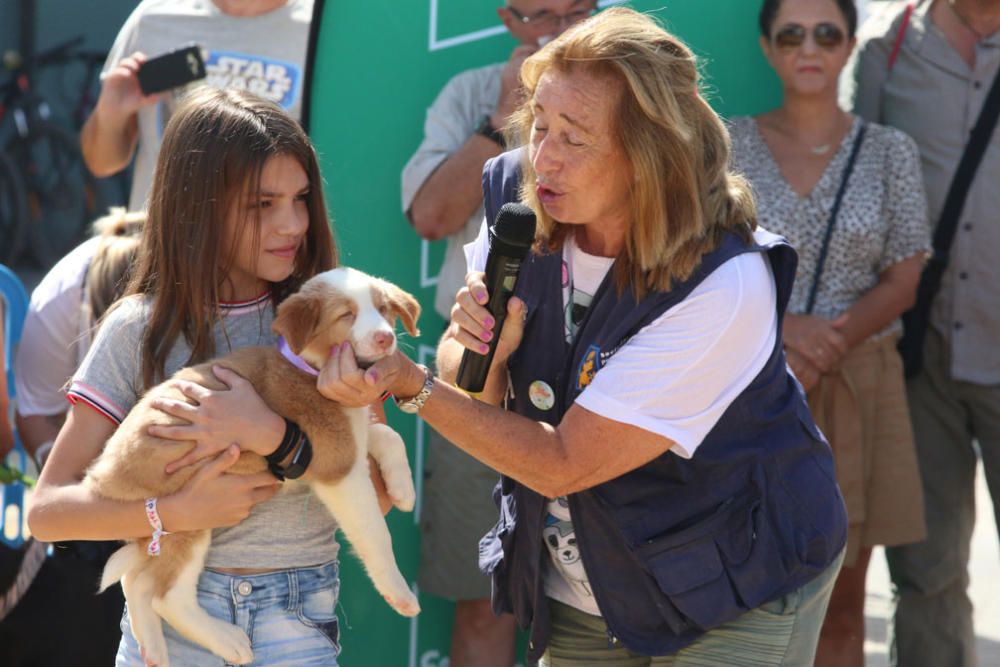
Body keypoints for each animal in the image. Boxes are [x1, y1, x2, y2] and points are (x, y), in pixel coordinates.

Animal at [88, 268, 424, 667]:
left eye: (384, 308)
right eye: (346, 315)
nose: (385, 337)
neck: (308, 367)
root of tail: (102, 475)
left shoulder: (346, 442)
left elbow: (388, 435)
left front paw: (403, 490)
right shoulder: (339, 467)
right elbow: (376, 535)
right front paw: (399, 592)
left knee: (136, 580)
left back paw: (153, 647)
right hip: (189, 517)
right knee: (164, 594)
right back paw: (227, 640)